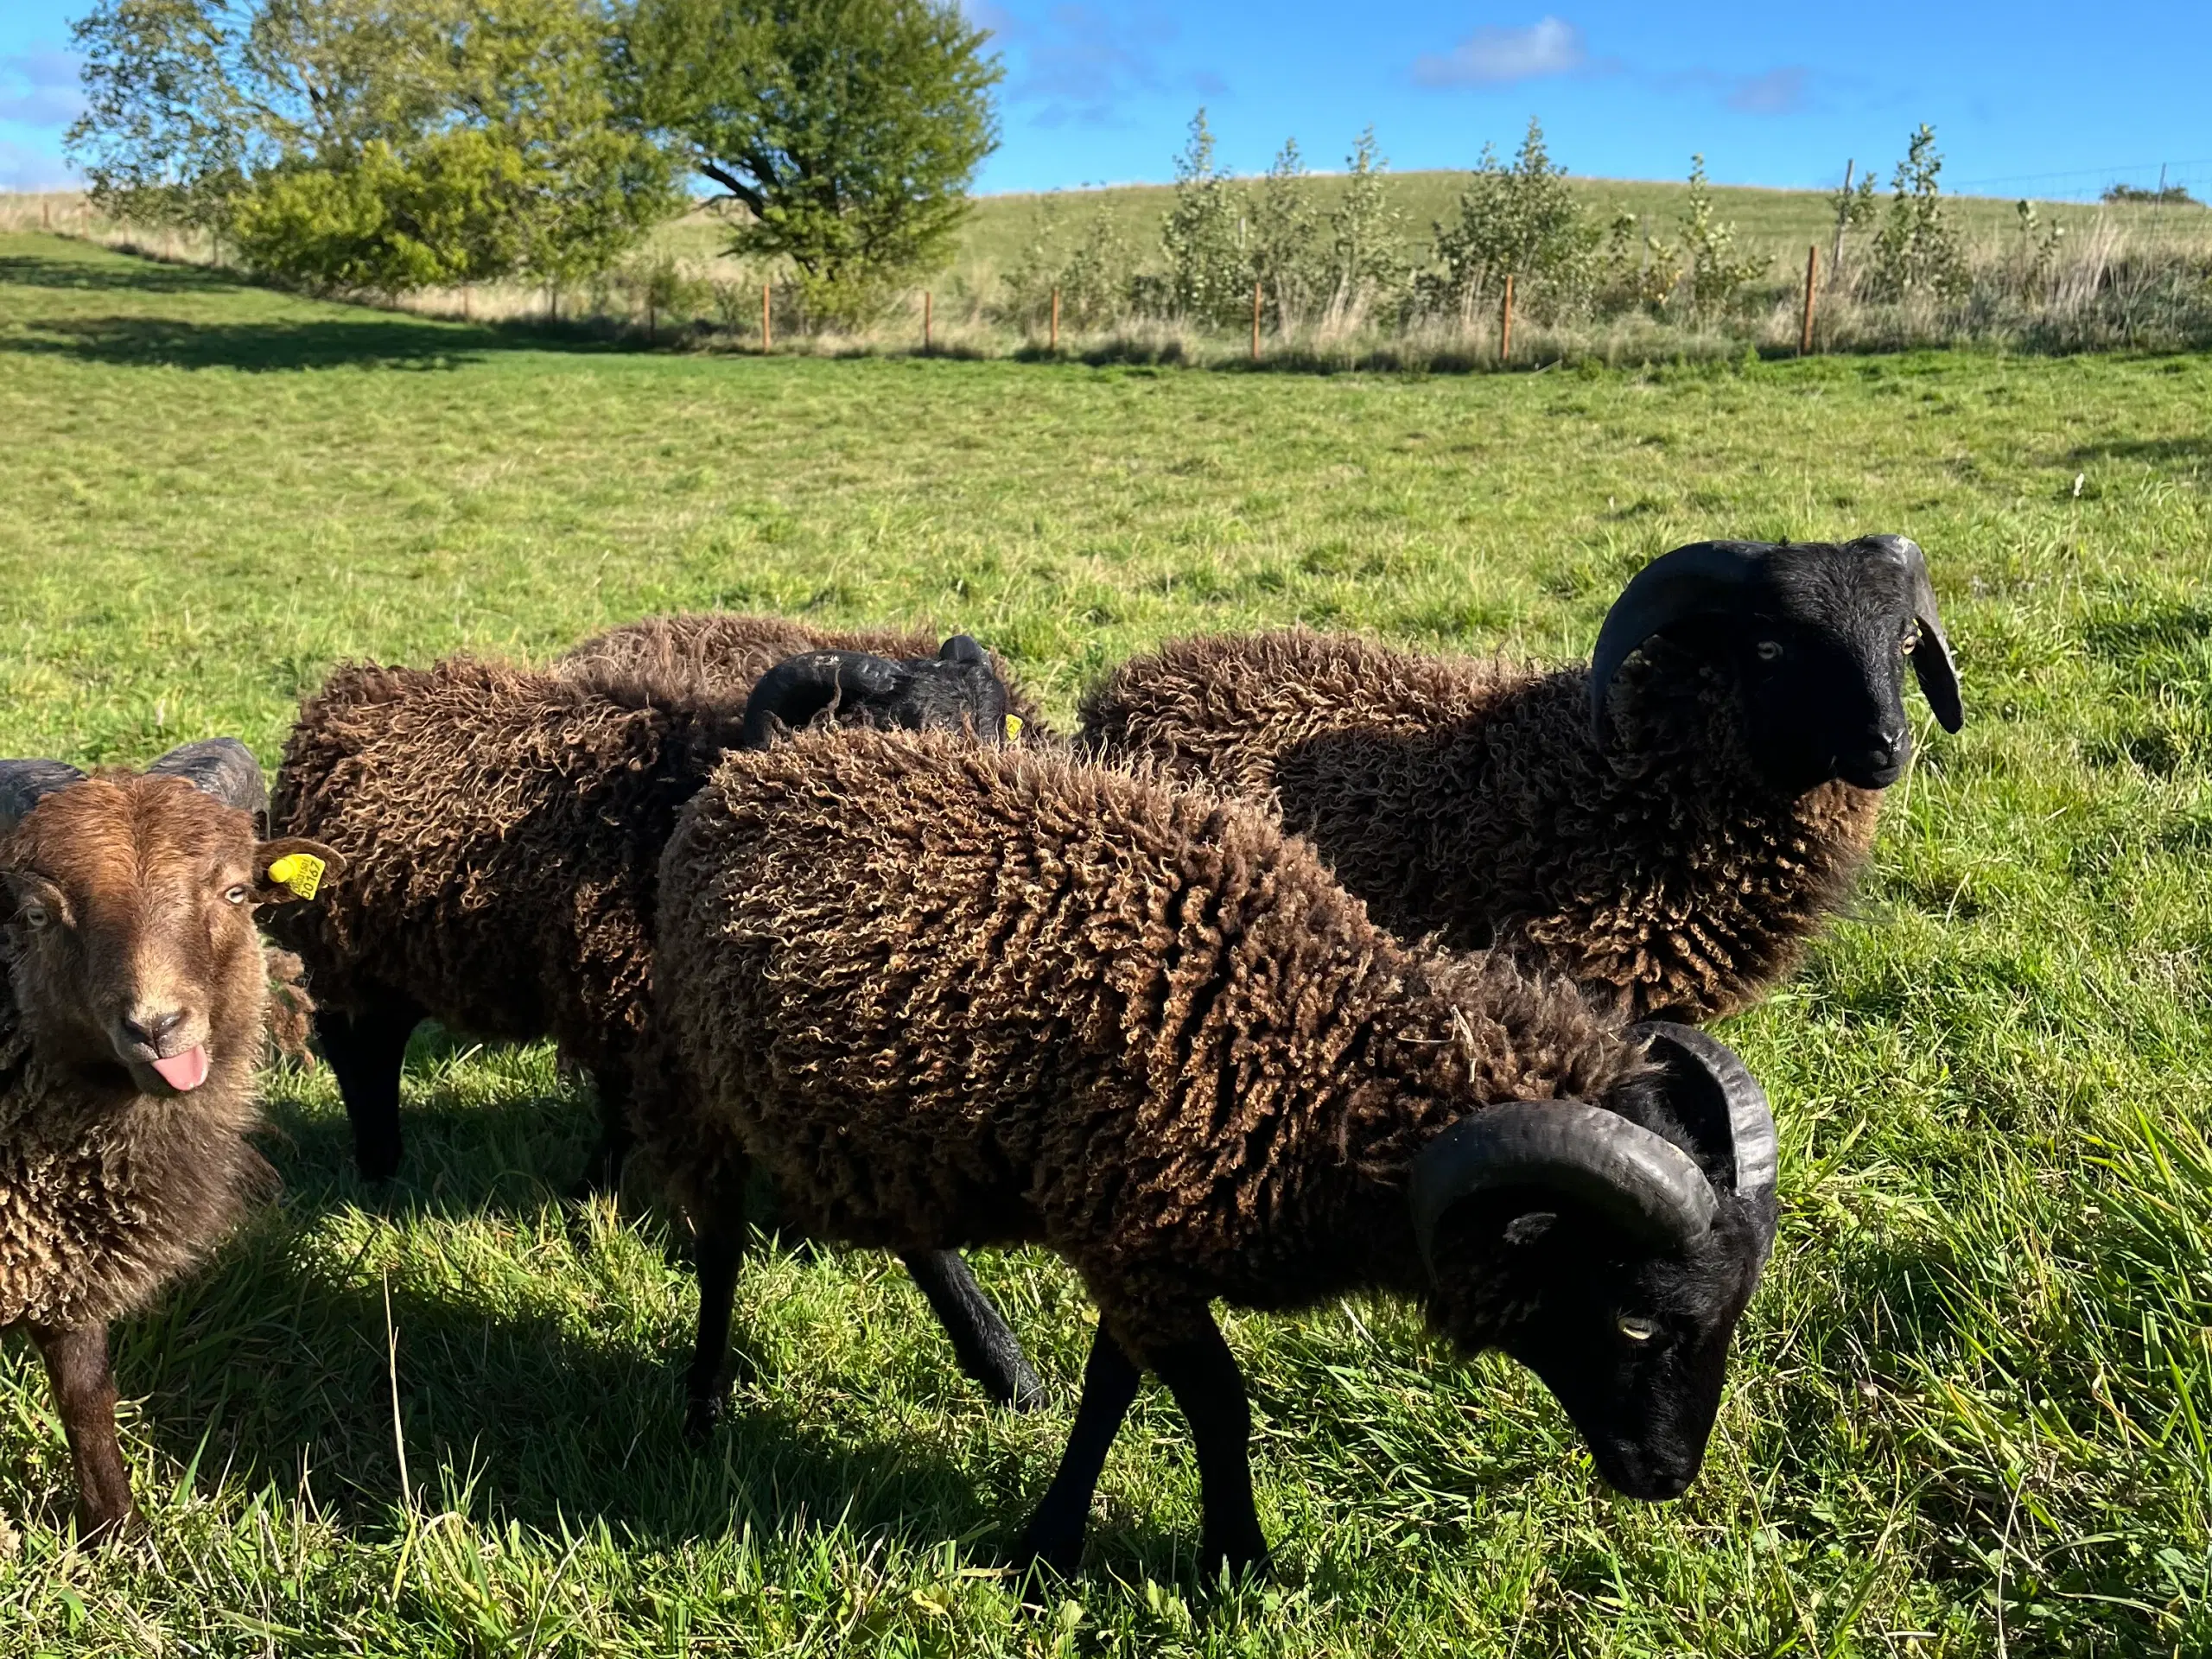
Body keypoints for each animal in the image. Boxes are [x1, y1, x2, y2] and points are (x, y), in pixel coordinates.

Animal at [2, 739, 342, 1548]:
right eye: (38, 913)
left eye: (238, 894)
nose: (156, 1027)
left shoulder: (62, 1260)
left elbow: (88, 1397)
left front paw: (116, 1534)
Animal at [265, 641, 1044, 1407]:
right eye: (894, 736)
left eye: (992, 732)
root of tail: (341, 698)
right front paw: (1010, 1371)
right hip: (348, 963)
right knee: (358, 1057)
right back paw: (378, 1172)